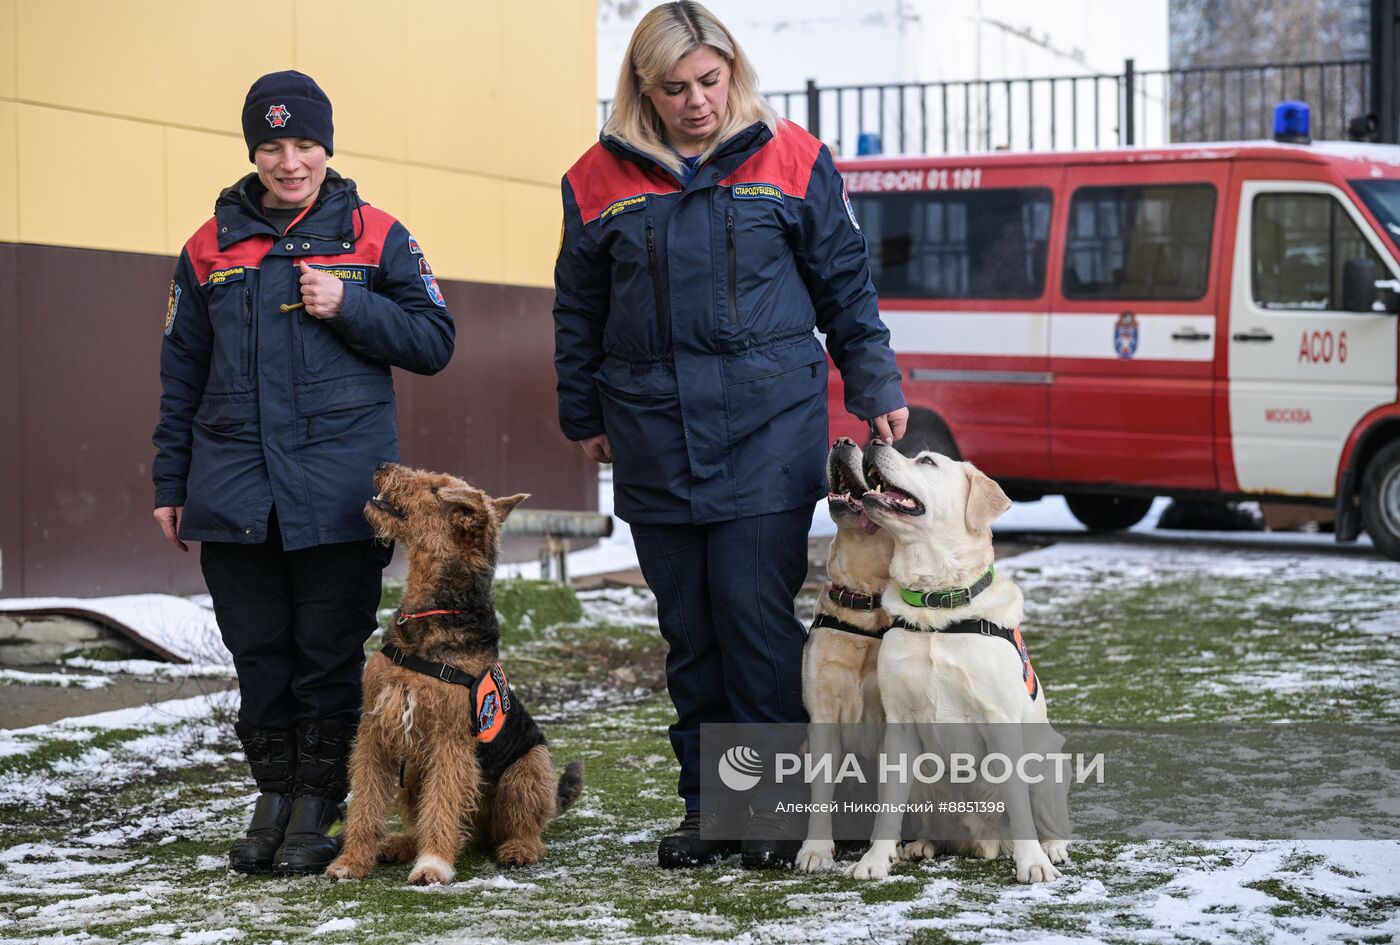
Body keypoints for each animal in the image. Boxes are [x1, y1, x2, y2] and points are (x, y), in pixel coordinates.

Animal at [326, 464, 579, 884]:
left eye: (434, 488)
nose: (381, 466)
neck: (432, 615)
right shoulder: (375, 730)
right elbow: (365, 803)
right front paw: (351, 861)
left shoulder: (450, 742)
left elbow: (442, 804)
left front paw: (432, 866)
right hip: (413, 771)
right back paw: (399, 843)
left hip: (528, 767)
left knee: (523, 827)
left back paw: (517, 850)